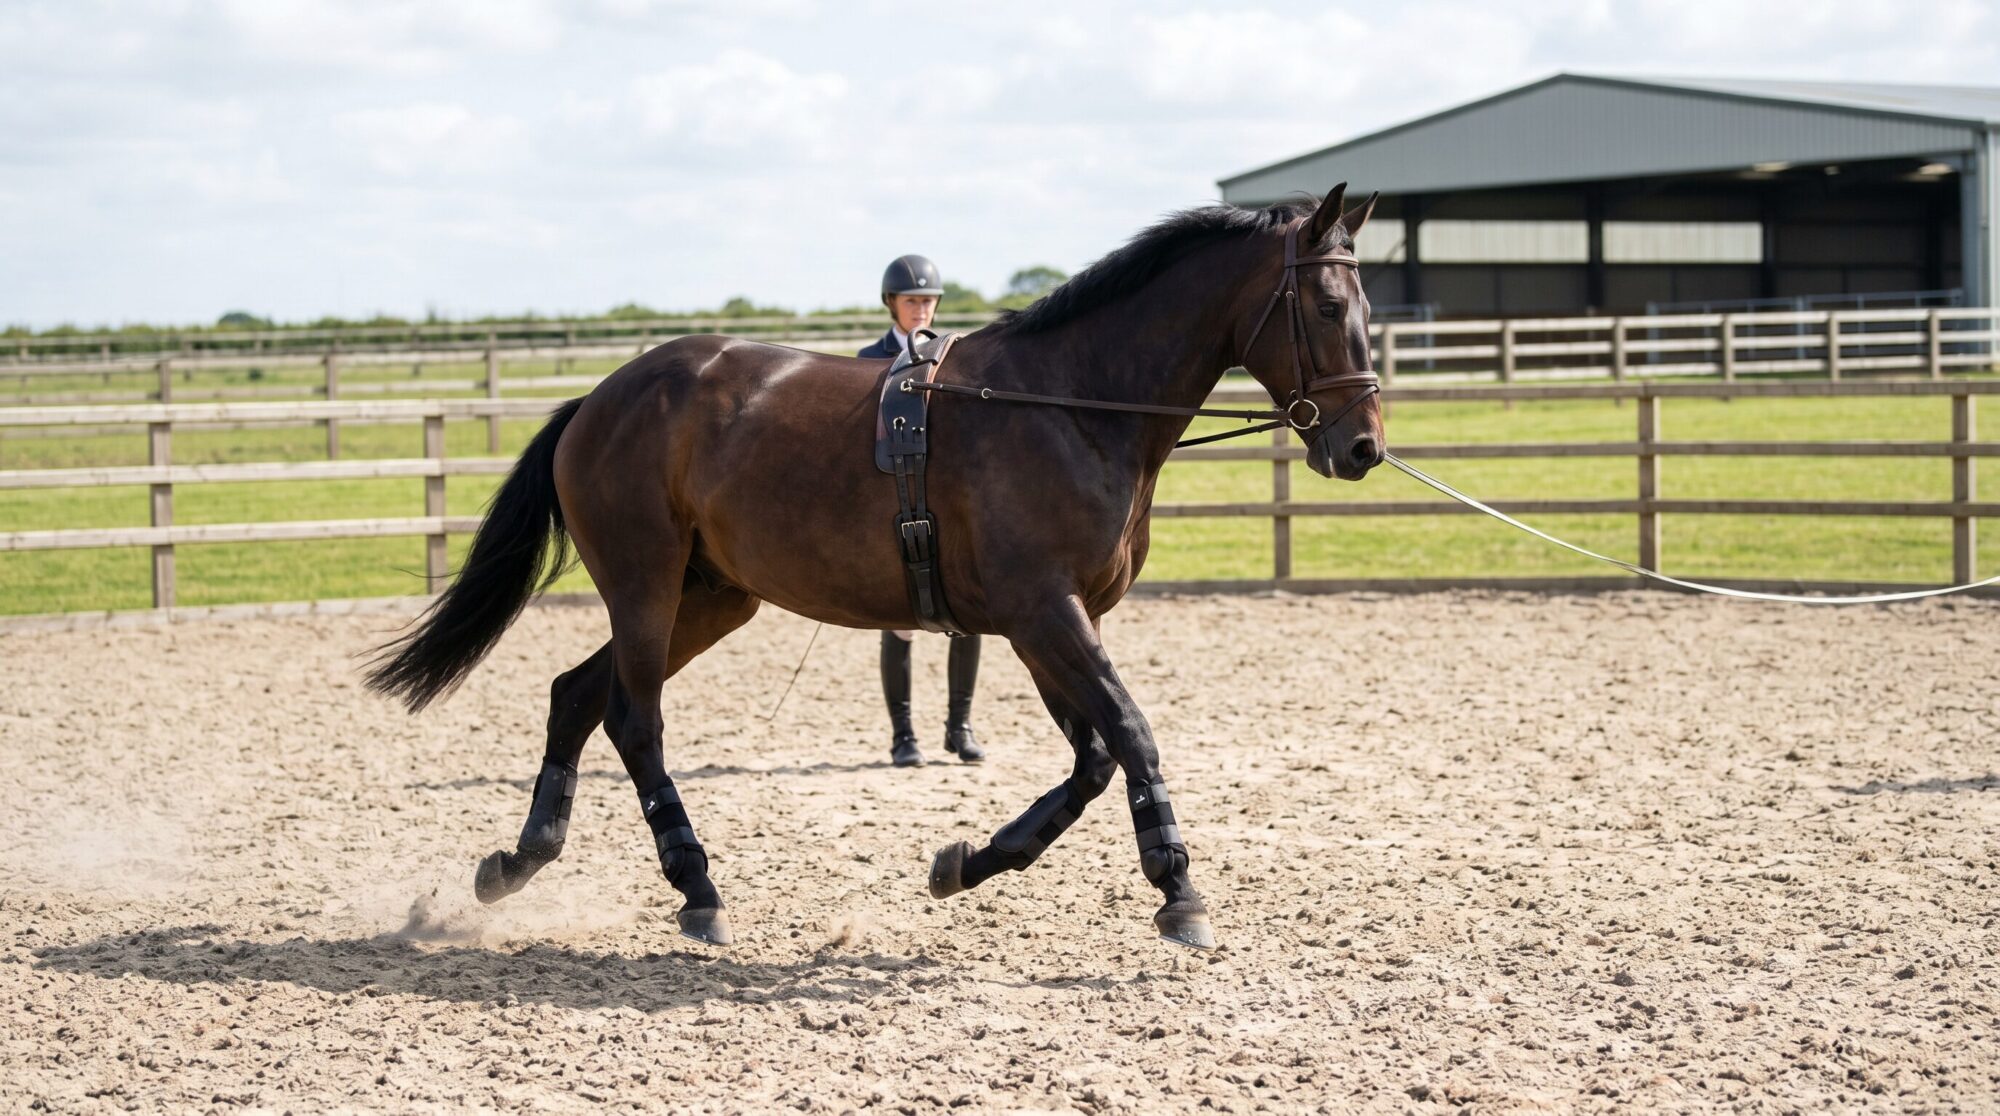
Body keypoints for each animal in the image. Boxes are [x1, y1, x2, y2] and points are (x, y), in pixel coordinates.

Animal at [365, 184, 1386, 950]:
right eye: (1330, 307)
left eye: (1369, 308)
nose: (1363, 447)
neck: (1067, 404)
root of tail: (602, 398)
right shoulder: (1045, 611)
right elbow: (1131, 734)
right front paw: (1178, 889)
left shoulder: (1052, 622)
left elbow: (1092, 759)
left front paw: (968, 862)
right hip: (646, 588)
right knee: (632, 719)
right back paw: (697, 889)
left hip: (712, 598)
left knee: (575, 696)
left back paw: (519, 862)